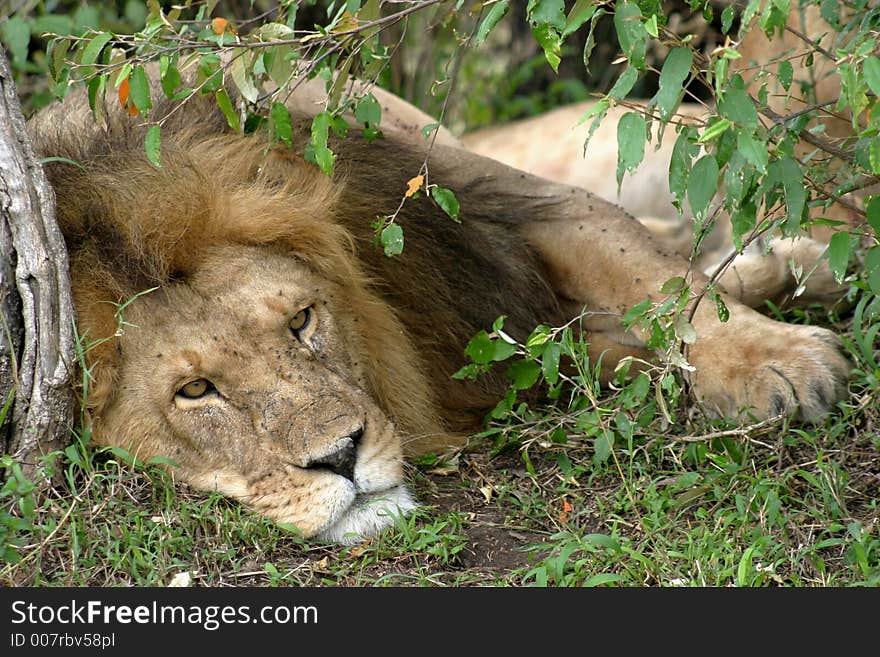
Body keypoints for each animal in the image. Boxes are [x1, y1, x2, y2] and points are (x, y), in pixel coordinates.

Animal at [29, 64, 852, 544]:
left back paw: (800, 265)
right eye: (195, 390)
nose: (341, 457)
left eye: (301, 321)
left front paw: (781, 360)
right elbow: (602, 342)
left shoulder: (494, 207)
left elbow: (656, 277)